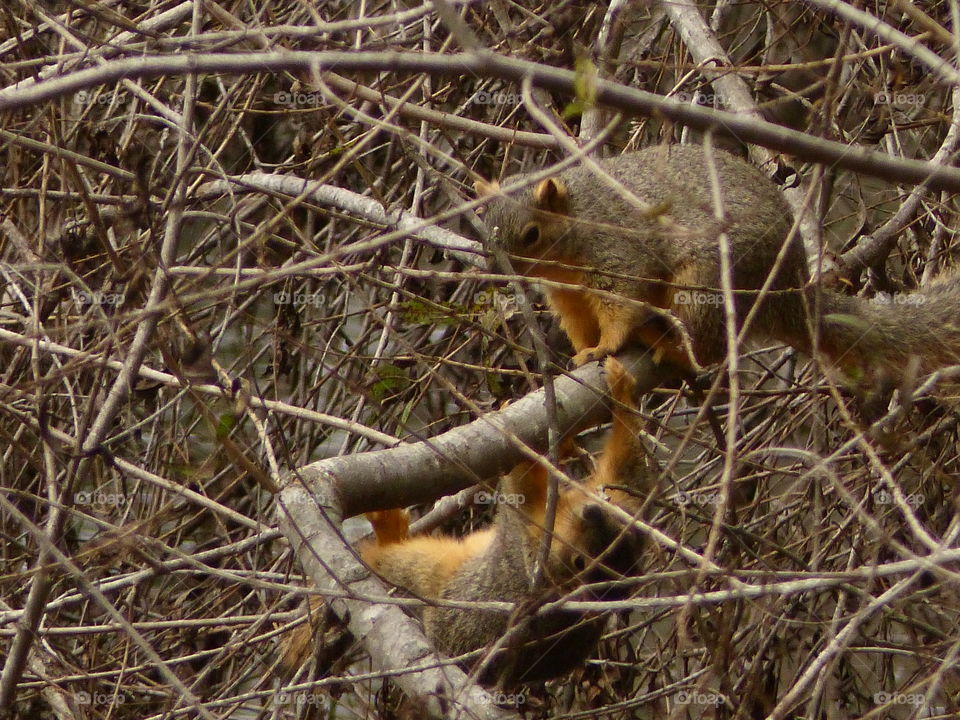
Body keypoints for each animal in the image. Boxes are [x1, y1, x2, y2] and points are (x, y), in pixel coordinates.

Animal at [280, 357, 652, 687]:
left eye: (580, 560)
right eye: (619, 526)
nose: (592, 513)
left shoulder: (529, 553)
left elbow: (518, 489)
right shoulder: (625, 499)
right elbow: (629, 465)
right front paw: (620, 392)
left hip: (441, 579)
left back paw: (388, 528)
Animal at [475, 144, 960, 390]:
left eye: (532, 234)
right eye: (485, 225)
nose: (502, 269)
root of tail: (790, 296)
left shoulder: (618, 254)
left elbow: (621, 306)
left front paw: (606, 347)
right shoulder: (567, 293)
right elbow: (578, 322)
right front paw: (582, 352)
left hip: (706, 282)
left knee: (710, 348)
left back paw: (670, 345)